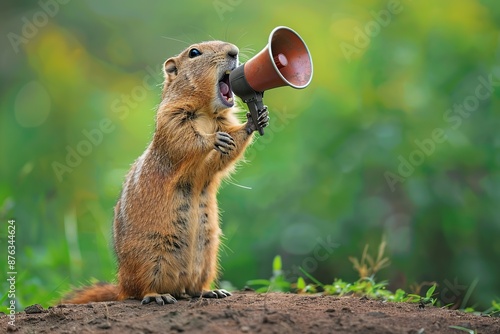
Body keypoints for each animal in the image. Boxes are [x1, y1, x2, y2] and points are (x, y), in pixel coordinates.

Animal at [64, 40, 272, 304]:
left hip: (207, 256)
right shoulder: (172, 118)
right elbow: (184, 139)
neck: (206, 112)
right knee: (142, 290)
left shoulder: (222, 122)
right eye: (194, 53)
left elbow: (223, 154)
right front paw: (213, 139)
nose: (234, 51)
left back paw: (209, 291)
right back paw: (157, 296)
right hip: (149, 258)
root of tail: (121, 287)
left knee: (192, 288)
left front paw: (255, 121)